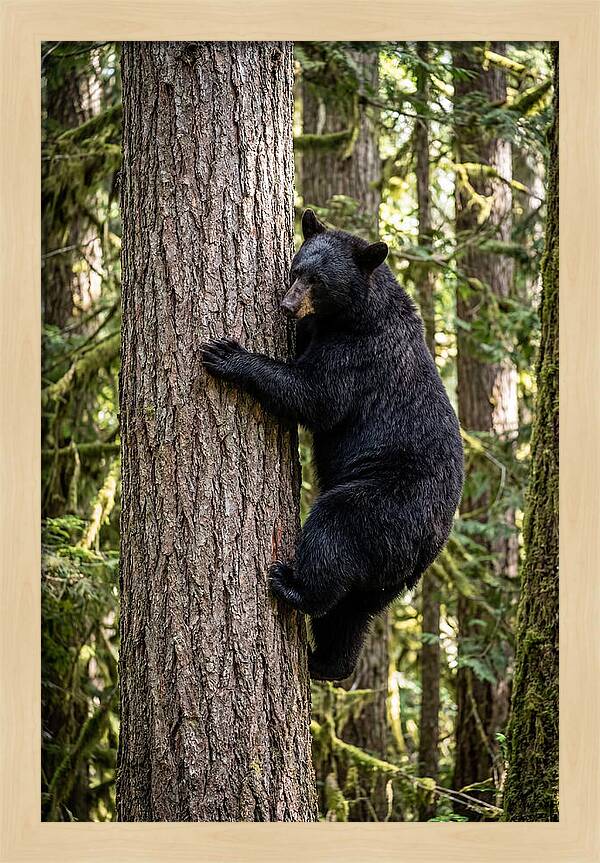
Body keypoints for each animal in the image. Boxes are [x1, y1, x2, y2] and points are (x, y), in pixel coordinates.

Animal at [201, 208, 464, 681]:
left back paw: (292, 586)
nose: (287, 305)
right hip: (388, 574)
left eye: (318, 281)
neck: (356, 315)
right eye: (296, 269)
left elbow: (315, 395)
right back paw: (328, 662)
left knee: (334, 533)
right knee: (353, 611)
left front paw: (228, 354)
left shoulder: (359, 356)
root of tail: (430, 545)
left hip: (384, 505)